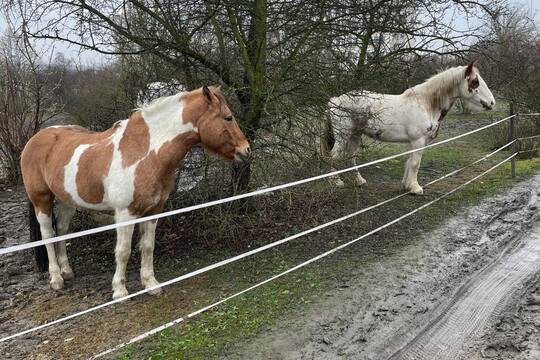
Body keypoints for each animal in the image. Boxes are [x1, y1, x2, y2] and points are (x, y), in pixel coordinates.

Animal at [20, 84, 250, 298]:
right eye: (228, 118)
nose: (246, 150)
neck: (145, 152)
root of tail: (36, 138)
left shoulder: (154, 210)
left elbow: (147, 246)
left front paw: (151, 284)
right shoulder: (125, 214)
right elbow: (123, 251)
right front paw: (120, 291)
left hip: (67, 201)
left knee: (61, 230)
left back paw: (67, 271)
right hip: (41, 200)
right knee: (48, 234)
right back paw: (56, 278)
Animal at [322, 62, 496, 194]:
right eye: (475, 82)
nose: (492, 103)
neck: (427, 103)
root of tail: (335, 100)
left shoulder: (417, 142)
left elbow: (410, 161)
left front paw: (407, 185)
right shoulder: (418, 140)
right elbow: (415, 163)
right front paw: (415, 188)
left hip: (355, 135)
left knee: (351, 156)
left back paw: (359, 180)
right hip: (343, 136)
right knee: (334, 156)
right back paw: (336, 182)